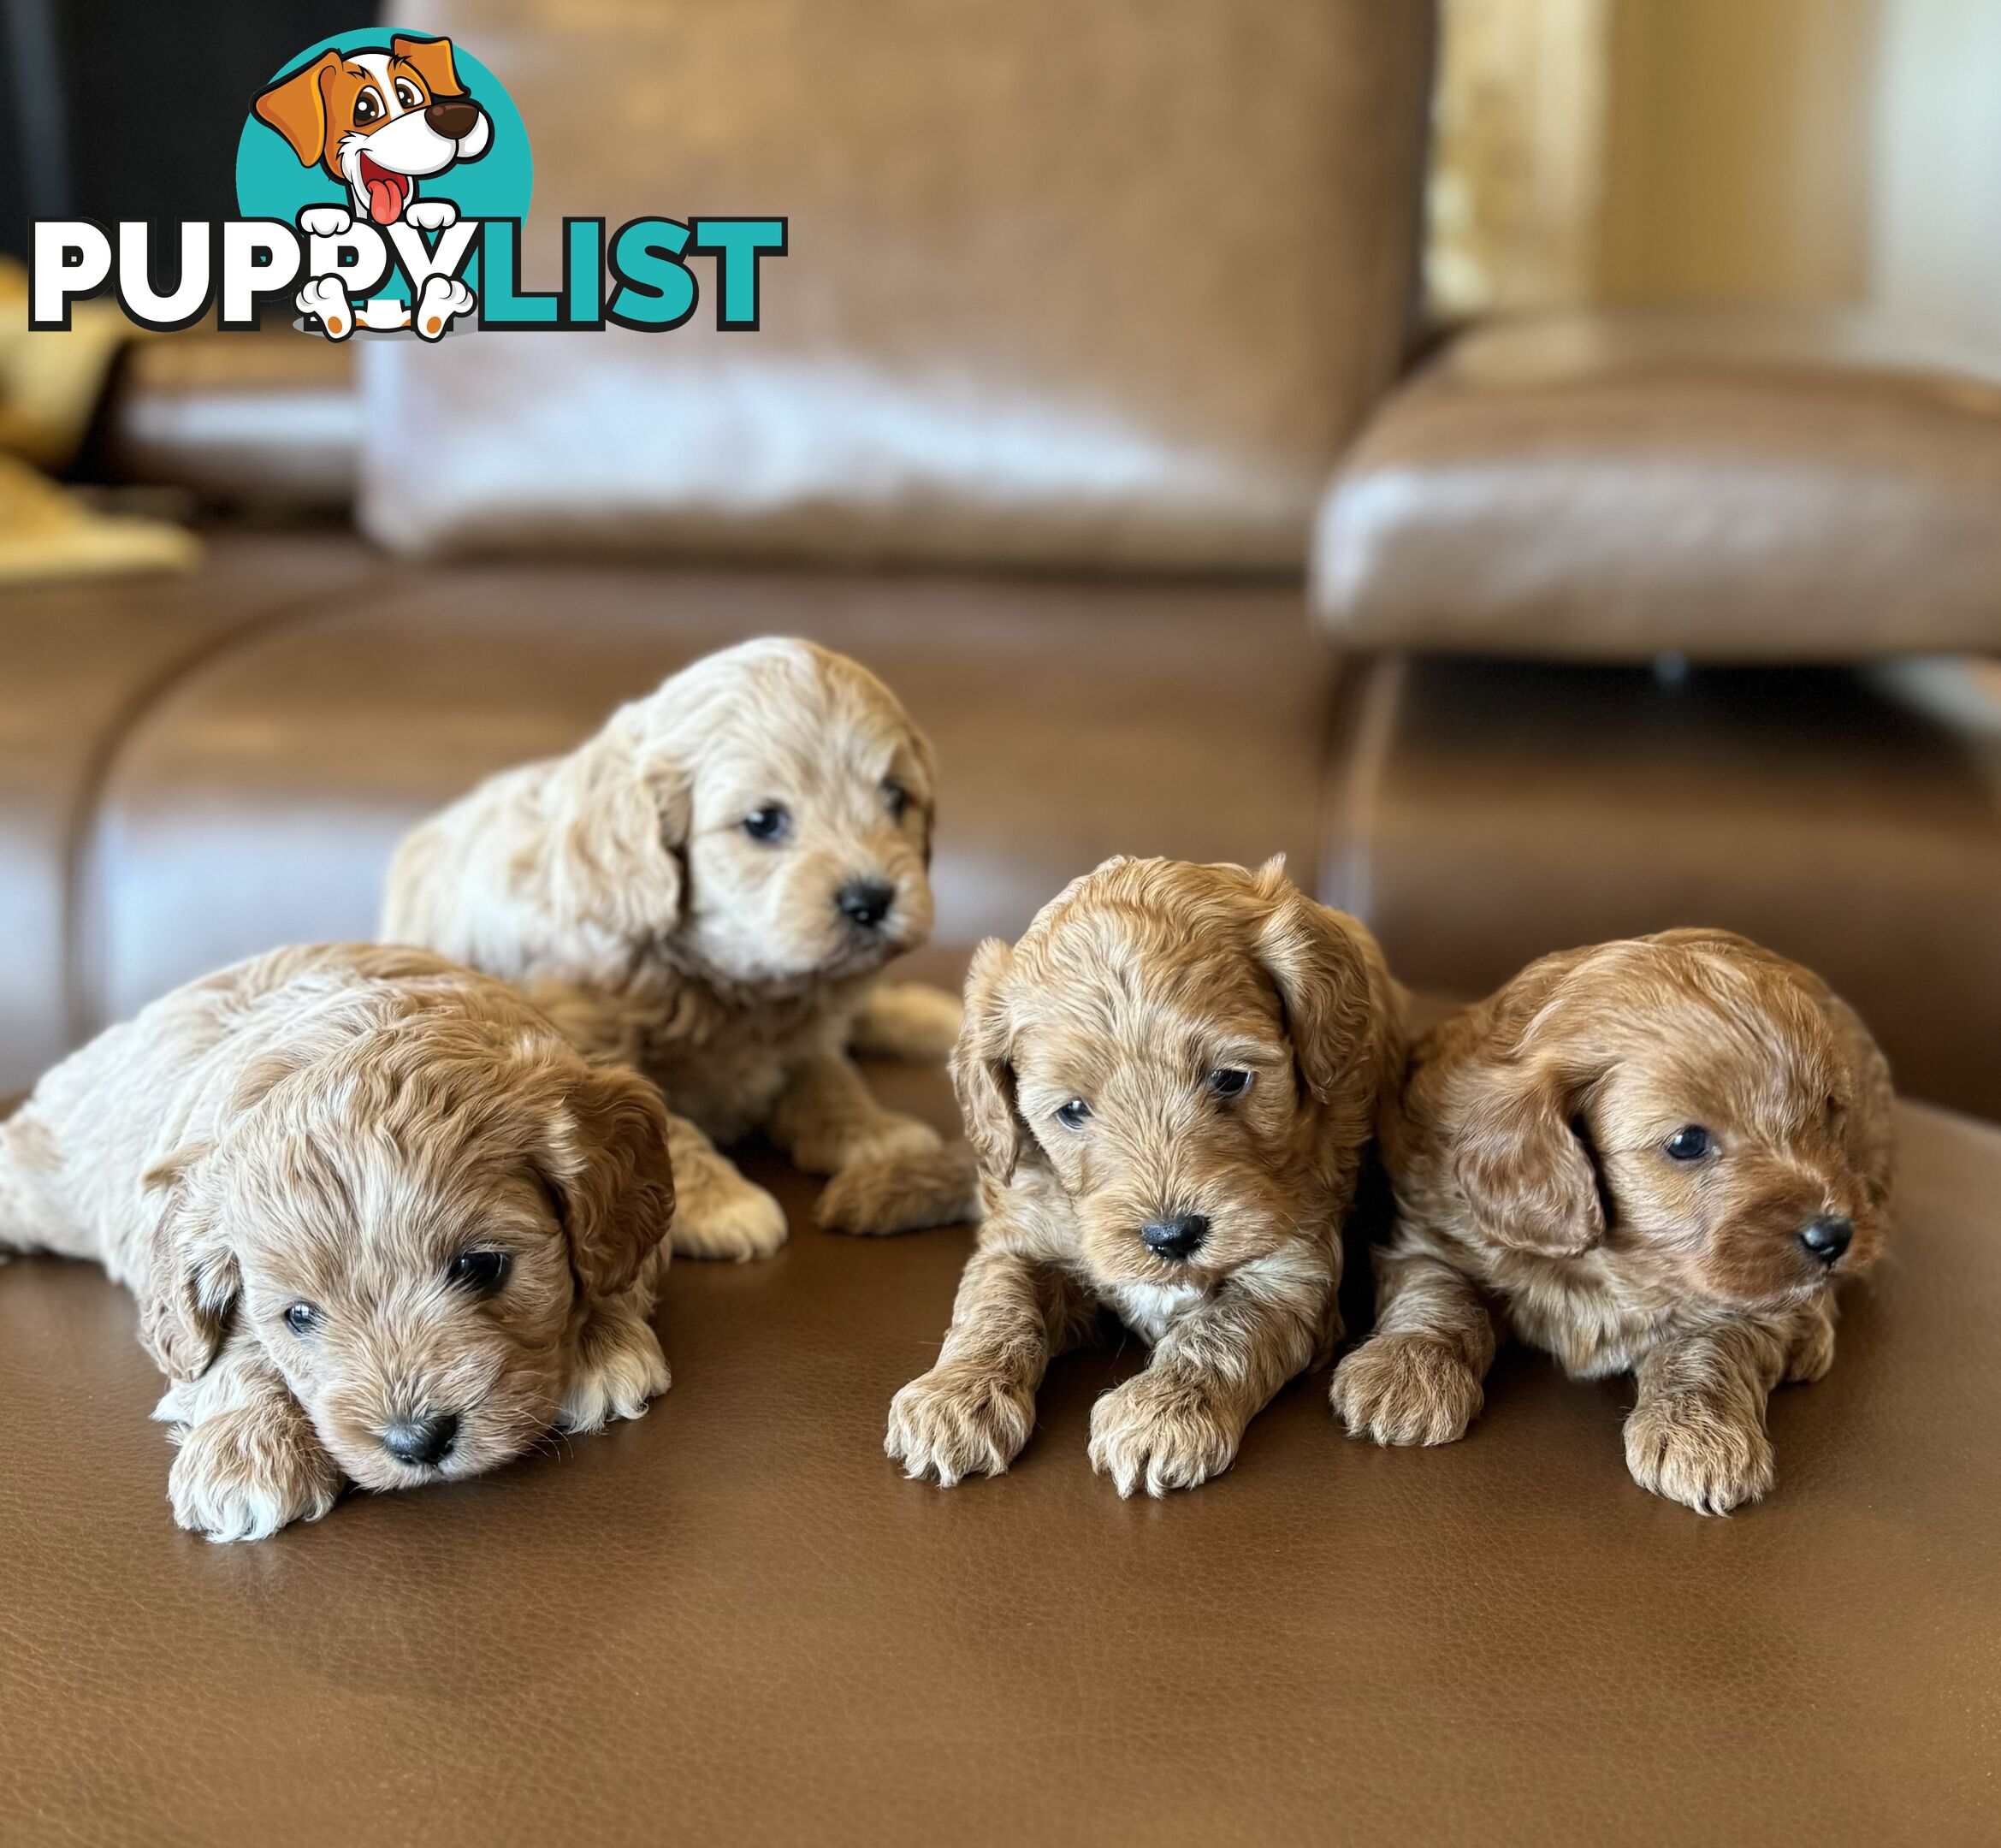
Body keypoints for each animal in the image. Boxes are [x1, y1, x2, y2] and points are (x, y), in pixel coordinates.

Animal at [0, 945, 680, 1537]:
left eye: (481, 1266)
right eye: (299, 1316)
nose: (417, 1441)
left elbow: (617, 1264)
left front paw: (599, 1344)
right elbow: (227, 1351)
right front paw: (247, 1451)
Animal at [386, 640, 964, 1273]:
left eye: (896, 798)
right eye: (763, 822)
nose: (871, 900)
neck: (730, 983)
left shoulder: (805, 1021)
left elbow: (826, 1067)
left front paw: (869, 1129)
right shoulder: (584, 1047)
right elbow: (662, 1124)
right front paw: (722, 1206)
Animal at [884, 861, 1400, 1497]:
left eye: (1230, 1078)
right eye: (1072, 1111)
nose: (1172, 1237)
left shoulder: (1293, 1275)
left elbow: (1221, 1332)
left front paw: (1160, 1413)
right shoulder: (1021, 1234)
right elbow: (994, 1303)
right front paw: (954, 1397)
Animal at [1329, 933, 1889, 1513]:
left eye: (1827, 1115)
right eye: (1687, 1142)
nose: (1834, 1235)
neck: (1614, 1261)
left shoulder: (1743, 1300)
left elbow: (1710, 1343)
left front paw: (1699, 1432)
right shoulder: (1428, 1228)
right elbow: (1439, 1291)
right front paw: (1407, 1370)